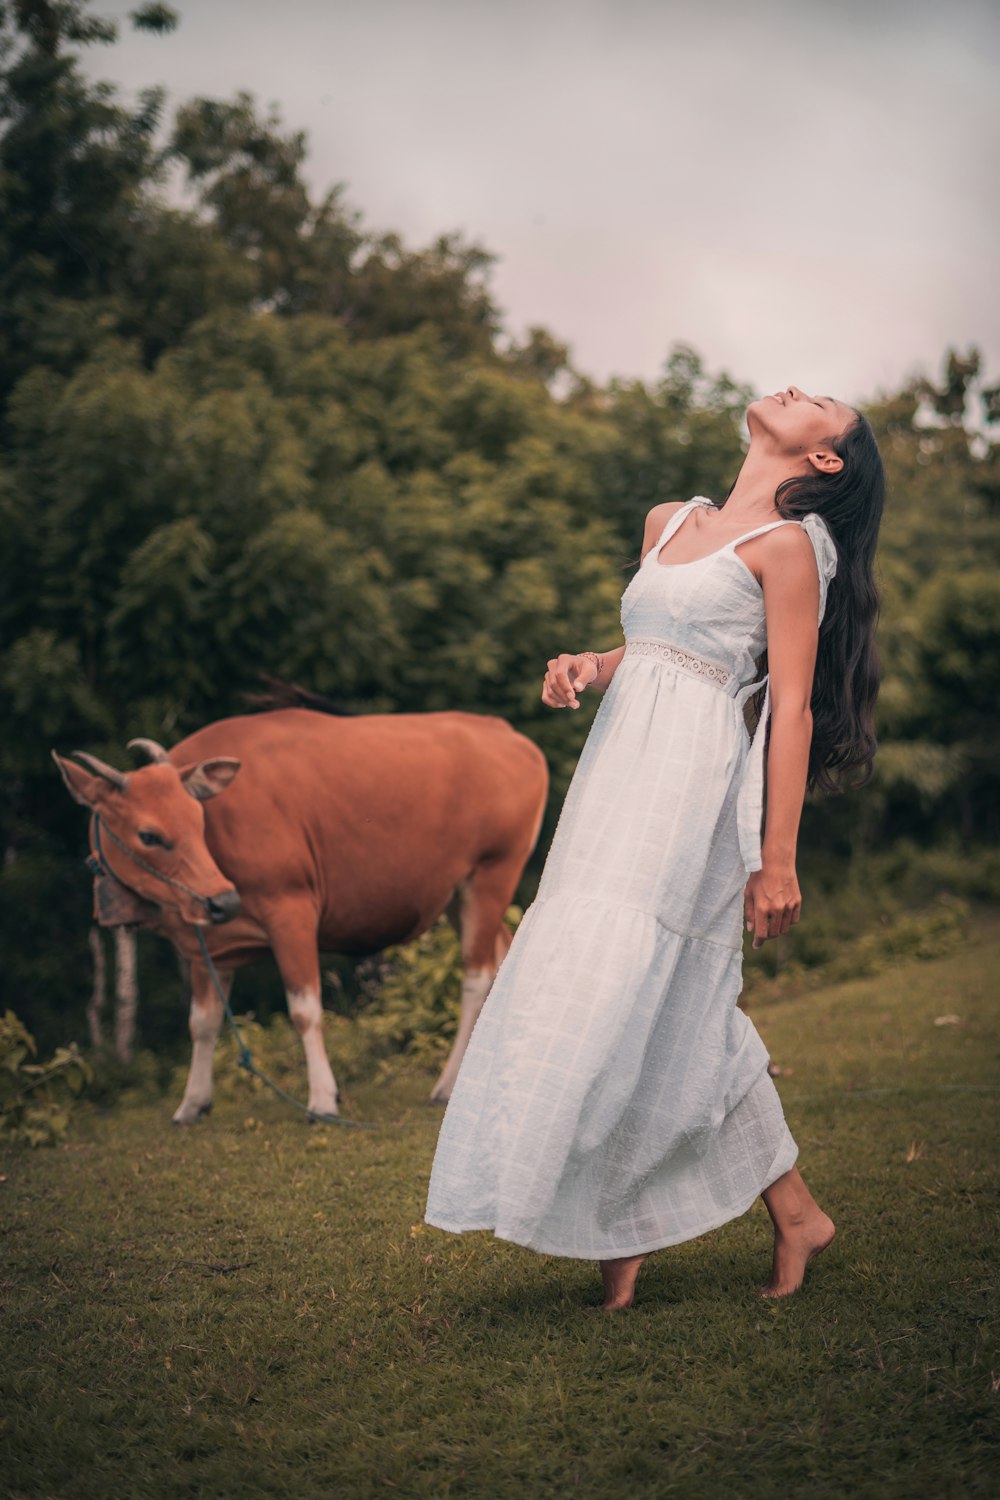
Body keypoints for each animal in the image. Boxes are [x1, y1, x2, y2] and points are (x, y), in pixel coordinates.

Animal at [56, 708, 548, 1122]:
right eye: (149, 835)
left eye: (198, 820)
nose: (223, 902)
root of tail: (510, 736)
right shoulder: (205, 944)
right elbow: (202, 1023)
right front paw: (192, 1104)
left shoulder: (290, 912)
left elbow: (305, 1010)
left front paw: (323, 1098)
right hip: (454, 895)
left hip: (490, 877)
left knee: (476, 977)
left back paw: (446, 1087)